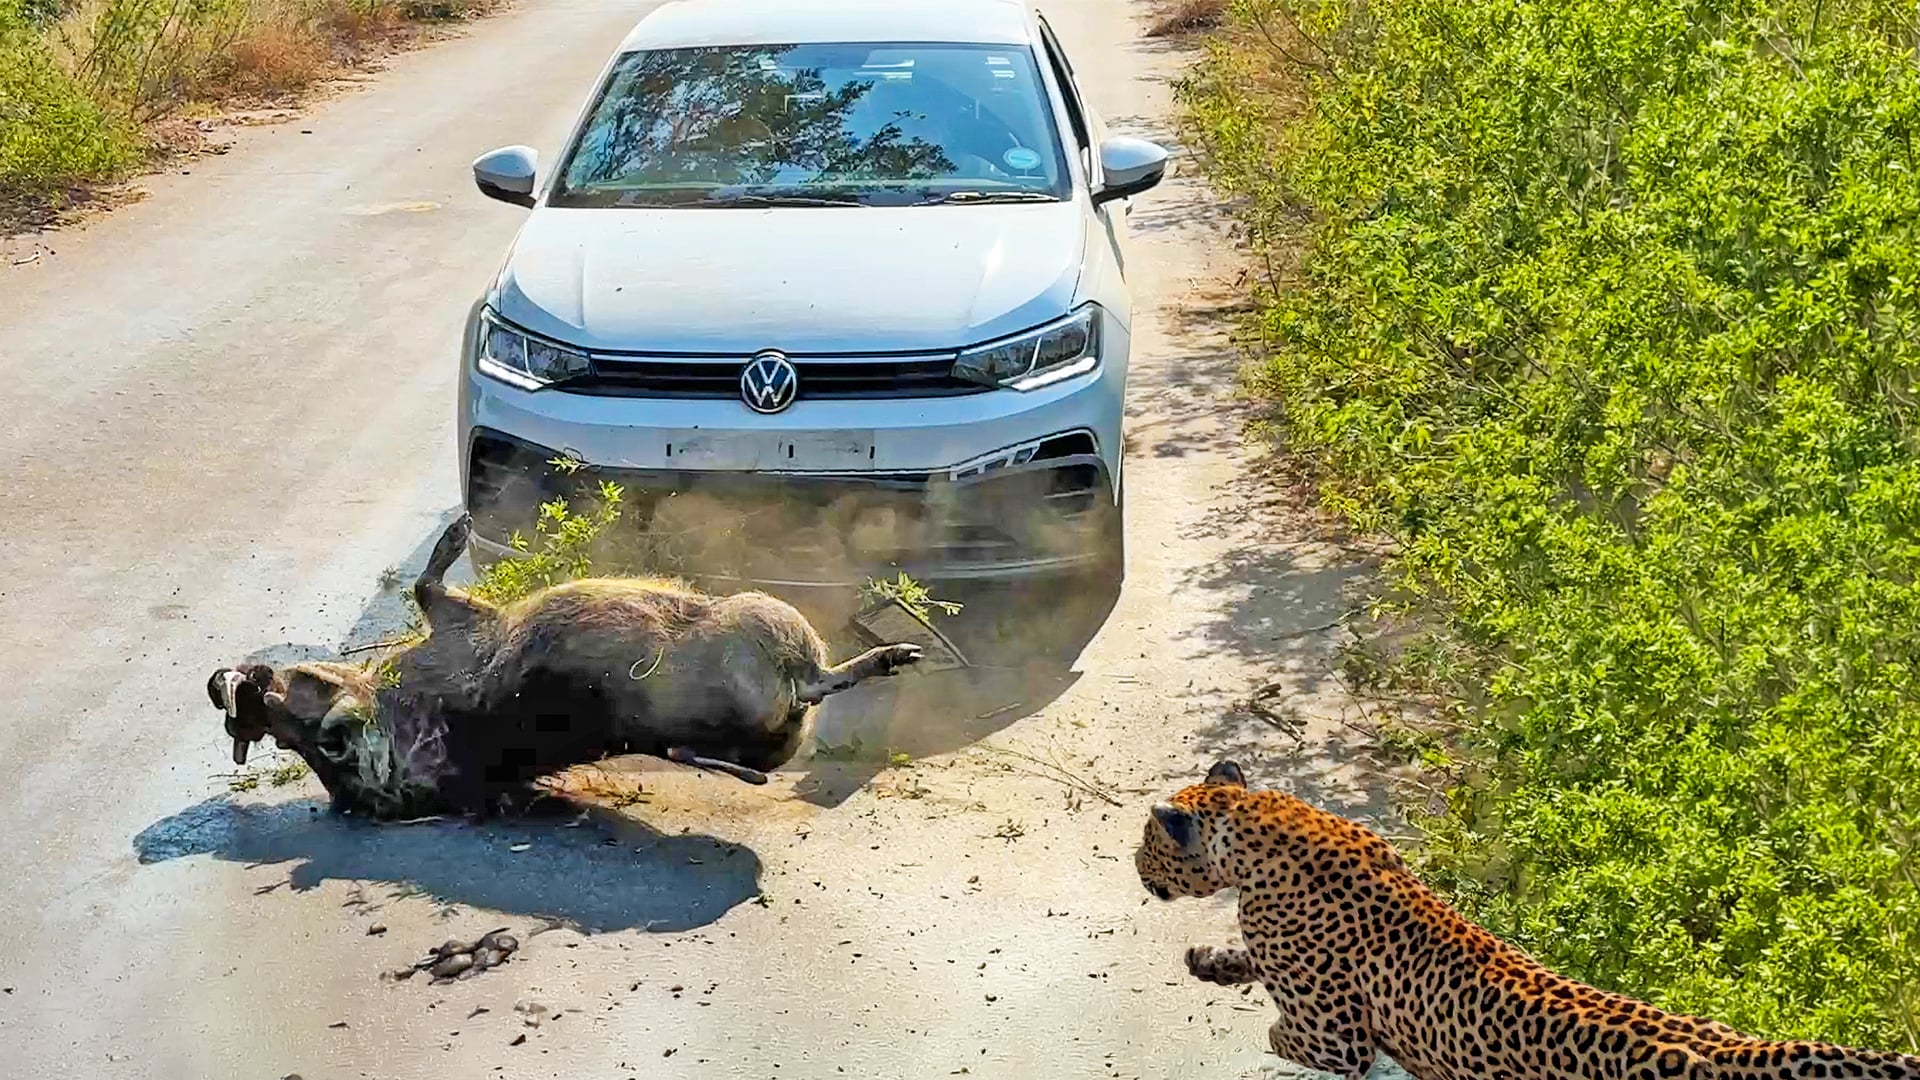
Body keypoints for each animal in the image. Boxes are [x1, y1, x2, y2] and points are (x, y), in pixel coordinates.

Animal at [1135, 760, 1920, 1080]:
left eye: (1146, 841)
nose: (1135, 868)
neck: (1257, 826)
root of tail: (1735, 1052)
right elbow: (1249, 961)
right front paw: (1211, 962)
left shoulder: (1337, 1041)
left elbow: (1288, 1033)